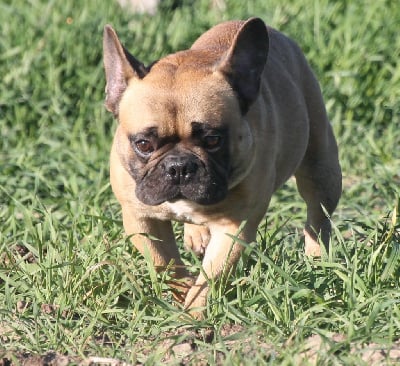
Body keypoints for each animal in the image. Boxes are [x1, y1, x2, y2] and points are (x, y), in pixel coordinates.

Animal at [103, 17, 340, 318]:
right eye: (144, 144)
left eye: (213, 140)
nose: (178, 166)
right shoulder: (141, 218)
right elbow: (164, 263)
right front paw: (181, 293)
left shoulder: (234, 227)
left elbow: (212, 275)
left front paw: (193, 313)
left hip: (321, 167)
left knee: (317, 217)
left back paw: (317, 261)